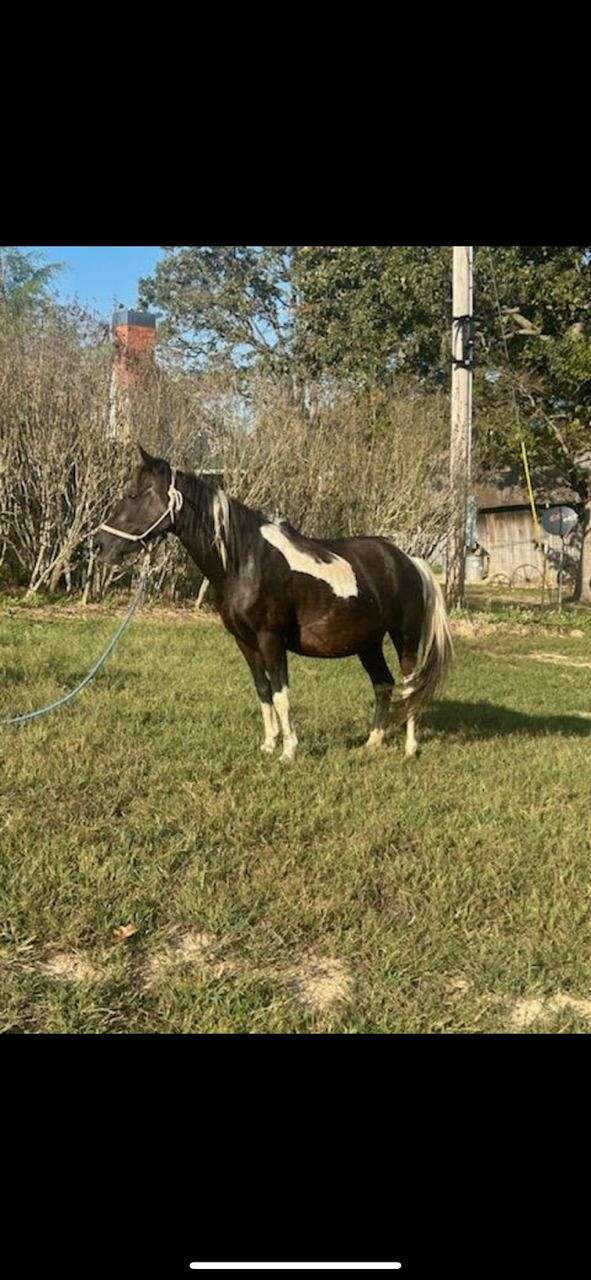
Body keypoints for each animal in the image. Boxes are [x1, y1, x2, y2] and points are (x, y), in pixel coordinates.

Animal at [96, 445, 453, 762]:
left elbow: (281, 694)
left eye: (133, 495)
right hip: (368, 643)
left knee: (409, 687)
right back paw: (372, 743)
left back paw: (410, 748)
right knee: (383, 684)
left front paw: (289, 751)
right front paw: (269, 745)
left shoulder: (271, 639)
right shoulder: (244, 641)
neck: (244, 561)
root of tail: (408, 561)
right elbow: (263, 690)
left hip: (405, 638)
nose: (101, 545)